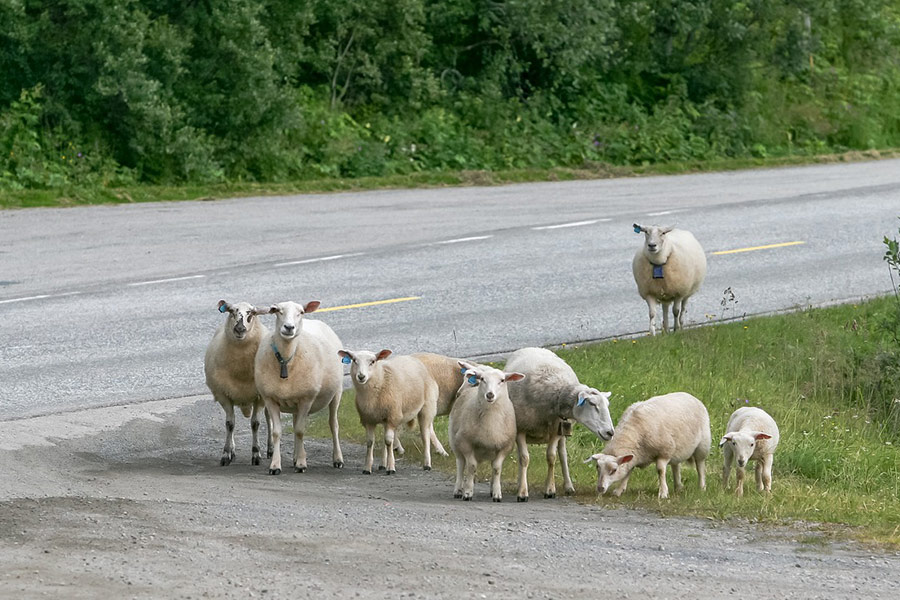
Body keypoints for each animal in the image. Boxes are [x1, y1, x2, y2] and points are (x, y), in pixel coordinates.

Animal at [204, 300, 273, 466]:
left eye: (251, 313)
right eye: (232, 311)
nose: (240, 329)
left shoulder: (259, 397)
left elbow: (255, 424)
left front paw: (256, 454)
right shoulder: (223, 394)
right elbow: (230, 424)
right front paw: (226, 453)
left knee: (269, 417)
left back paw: (271, 449)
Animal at [254, 301, 344, 475]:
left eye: (301, 312)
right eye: (277, 311)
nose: (289, 327)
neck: (286, 358)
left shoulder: (306, 399)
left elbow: (301, 431)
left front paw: (302, 464)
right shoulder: (270, 399)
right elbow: (277, 433)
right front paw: (275, 465)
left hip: (337, 392)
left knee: (334, 425)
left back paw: (337, 459)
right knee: (296, 424)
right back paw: (295, 457)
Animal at [449, 362, 523, 501]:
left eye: (502, 380)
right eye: (483, 379)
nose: (490, 395)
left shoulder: (505, 446)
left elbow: (497, 468)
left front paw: (497, 493)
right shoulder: (465, 443)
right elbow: (471, 467)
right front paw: (468, 492)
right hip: (455, 441)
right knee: (460, 464)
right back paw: (458, 490)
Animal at [504, 347, 615, 502]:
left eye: (607, 404)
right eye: (592, 404)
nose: (610, 432)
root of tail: (533, 347)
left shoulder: (556, 431)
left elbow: (552, 457)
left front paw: (550, 490)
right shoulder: (521, 428)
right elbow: (524, 458)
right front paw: (522, 492)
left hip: (562, 430)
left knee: (563, 455)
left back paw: (568, 486)